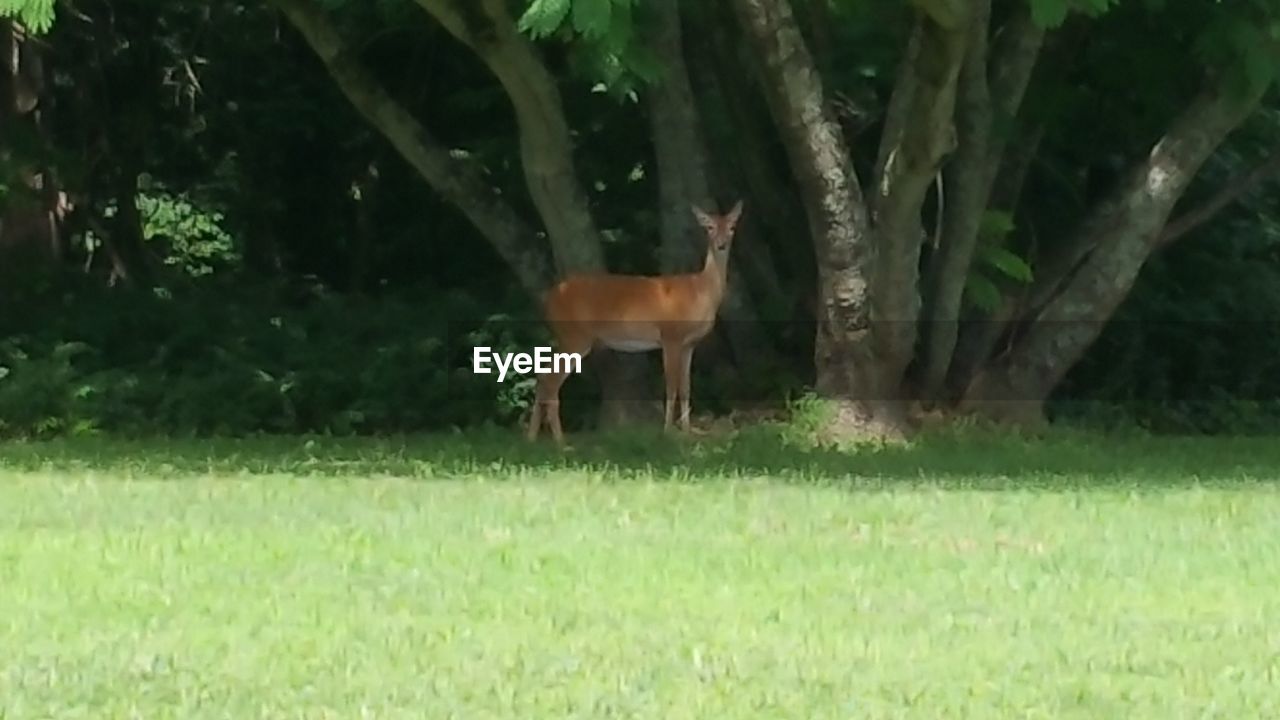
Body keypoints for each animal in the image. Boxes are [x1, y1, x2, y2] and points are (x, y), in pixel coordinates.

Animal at [524, 198, 747, 440]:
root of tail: (549, 299)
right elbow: (671, 386)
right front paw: (668, 431)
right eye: (709, 228)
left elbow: (686, 387)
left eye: (732, 227)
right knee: (550, 381)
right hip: (575, 336)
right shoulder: (670, 335)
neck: (700, 292)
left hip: (567, 337)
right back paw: (560, 441)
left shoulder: (689, 344)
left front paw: (687, 432)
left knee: (542, 376)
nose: (721, 245)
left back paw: (532, 438)